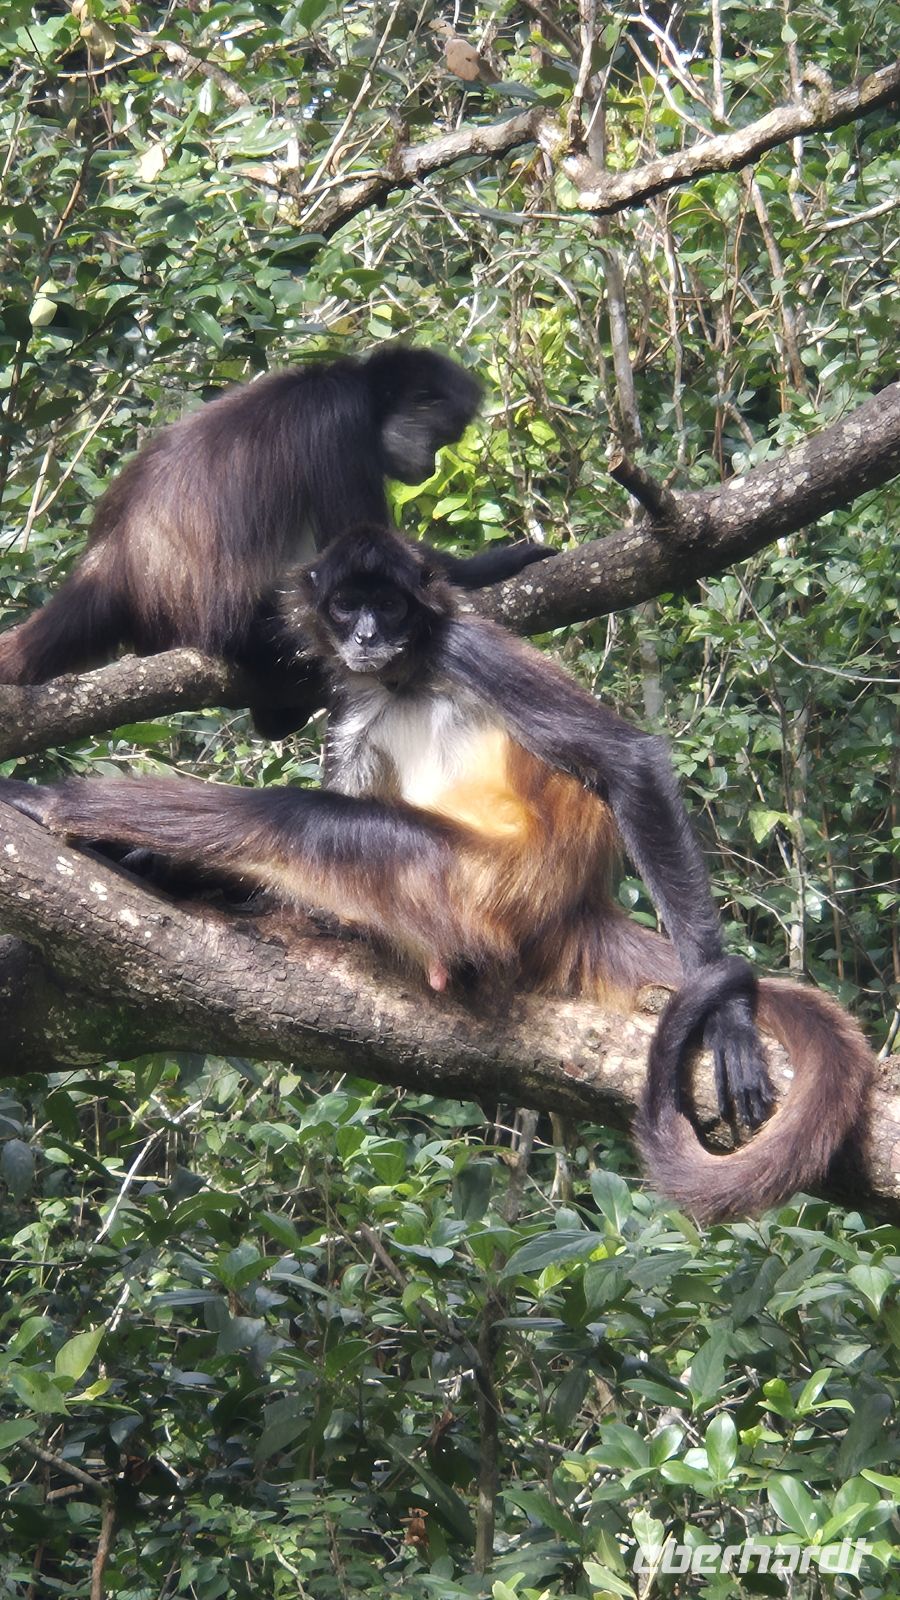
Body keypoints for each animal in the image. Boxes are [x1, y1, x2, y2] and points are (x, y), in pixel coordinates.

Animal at [0, 345, 551, 737]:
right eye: (442, 438)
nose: (433, 466)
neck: (353, 384)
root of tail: (111, 562)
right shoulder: (337, 420)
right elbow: (363, 547)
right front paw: (502, 562)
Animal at [0, 524, 872, 1222]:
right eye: (347, 607)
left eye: (389, 607)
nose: (366, 636)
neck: (406, 672)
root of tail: (574, 905)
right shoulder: (351, 692)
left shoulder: (463, 648)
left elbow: (628, 761)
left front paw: (730, 1021)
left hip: (478, 887)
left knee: (301, 819)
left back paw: (57, 804)